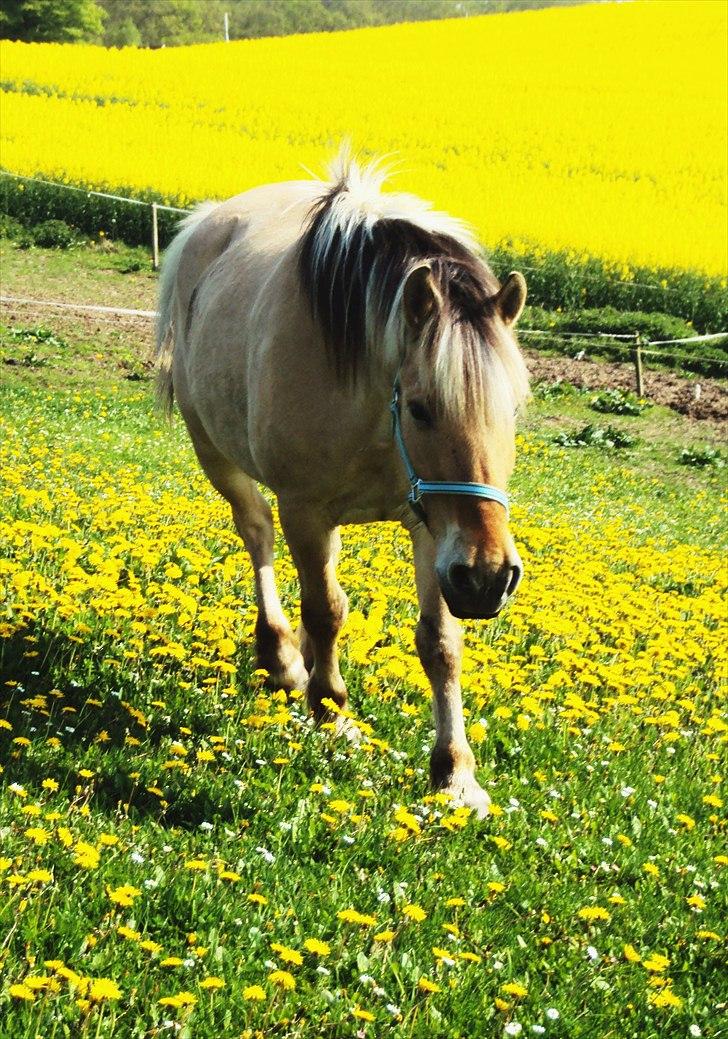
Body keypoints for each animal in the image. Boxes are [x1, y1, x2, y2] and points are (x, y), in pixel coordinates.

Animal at [154, 151, 527, 818]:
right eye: (423, 408)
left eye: (511, 409)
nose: (489, 577)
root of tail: (208, 221)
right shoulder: (305, 508)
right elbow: (326, 610)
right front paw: (332, 714)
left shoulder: (435, 529)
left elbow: (440, 642)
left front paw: (456, 776)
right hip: (218, 456)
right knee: (258, 535)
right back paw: (283, 659)